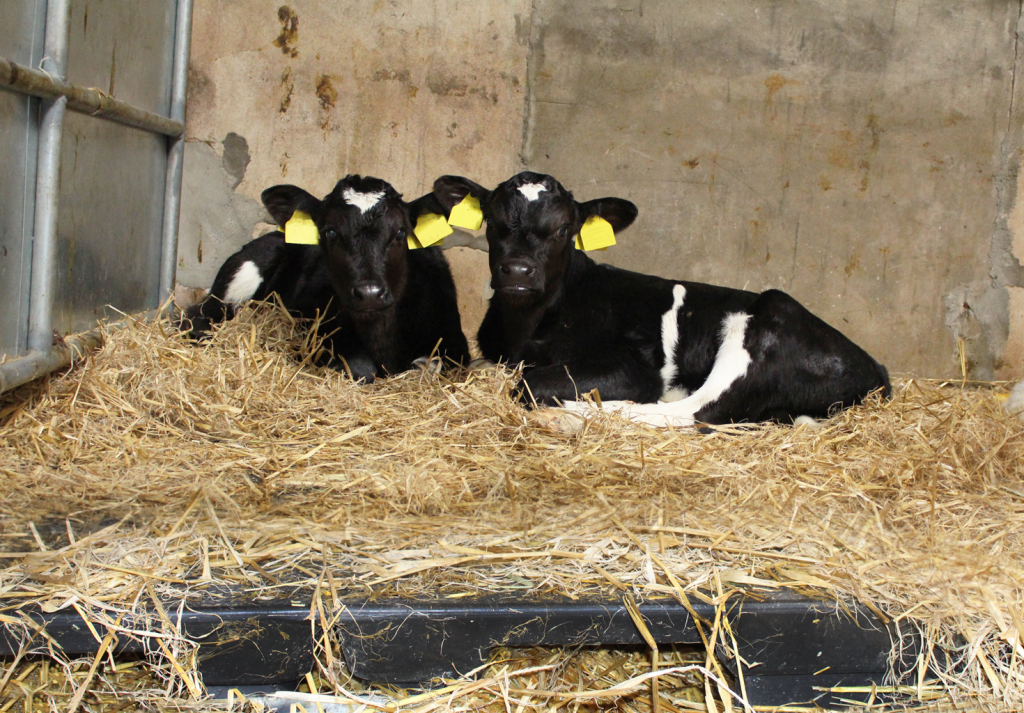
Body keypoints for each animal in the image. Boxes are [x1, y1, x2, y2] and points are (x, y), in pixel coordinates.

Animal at [430, 171, 888, 428]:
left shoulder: (632, 368)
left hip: (764, 323)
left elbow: (526, 385)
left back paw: (567, 418)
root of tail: (877, 369)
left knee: (694, 412)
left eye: (563, 229)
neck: (524, 332)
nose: (519, 270)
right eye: (492, 221)